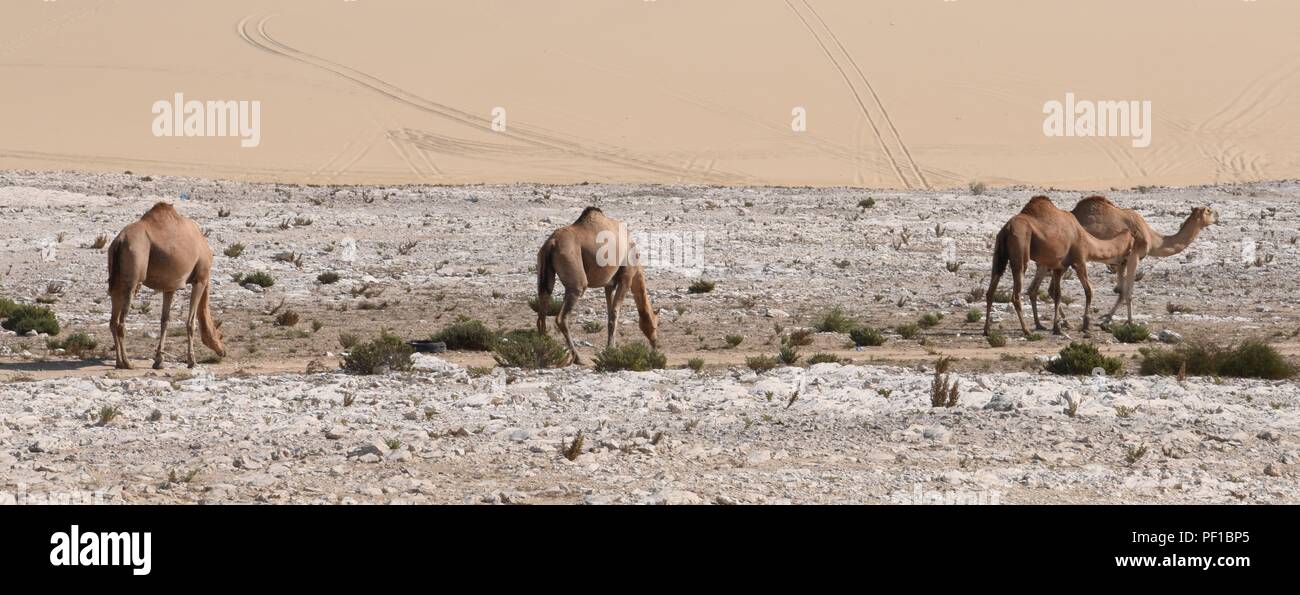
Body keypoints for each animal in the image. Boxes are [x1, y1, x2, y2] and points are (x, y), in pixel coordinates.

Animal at [110, 203, 227, 366]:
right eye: (220, 335)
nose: (223, 351)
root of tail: (119, 241)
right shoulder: (200, 280)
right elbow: (191, 322)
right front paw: (192, 360)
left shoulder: (169, 287)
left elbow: (164, 320)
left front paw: (159, 360)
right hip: (132, 280)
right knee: (121, 322)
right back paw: (127, 363)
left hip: (116, 280)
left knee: (113, 321)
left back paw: (119, 362)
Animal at [538, 206, 660, 363]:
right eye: (656, 324)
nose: (655, 343)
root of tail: (551, 243)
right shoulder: (626, 279)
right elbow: (615, 313)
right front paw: (611, 350)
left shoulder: (609, 284)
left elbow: (610, 314)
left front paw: (610, 347)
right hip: (576, 280)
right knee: (561, 317)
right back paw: (578, 358)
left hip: (544, 273)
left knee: (542, 306)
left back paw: (544, 349)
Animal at [987, 194, 1133, 335]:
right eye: (1131, 247)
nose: (1124, 262)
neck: (1085, 239)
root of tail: (1007, 228)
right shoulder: (1079, 261)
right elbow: (1089, 291)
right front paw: (1085, 325)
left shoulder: (1060, 267)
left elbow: (1057, 294)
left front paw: (1057, 327)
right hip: (1020, 247)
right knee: (1016, 294)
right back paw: (1026, 330)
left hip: (999, 253)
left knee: (992, 289)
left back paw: (987, 330)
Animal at [1024, 196, 1216, 327]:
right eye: (1209, 211)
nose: (1217, 218)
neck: (1152, 238)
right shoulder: (1133, 257)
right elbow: (1128, 292)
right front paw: (1129, 322)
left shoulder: (1119, 263)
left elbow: (1121, 291)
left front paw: (1107, 318)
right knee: (1046, 288)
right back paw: (1061, 323)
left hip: (1049, 260)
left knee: (1038, 288)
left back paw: (1059, 322)